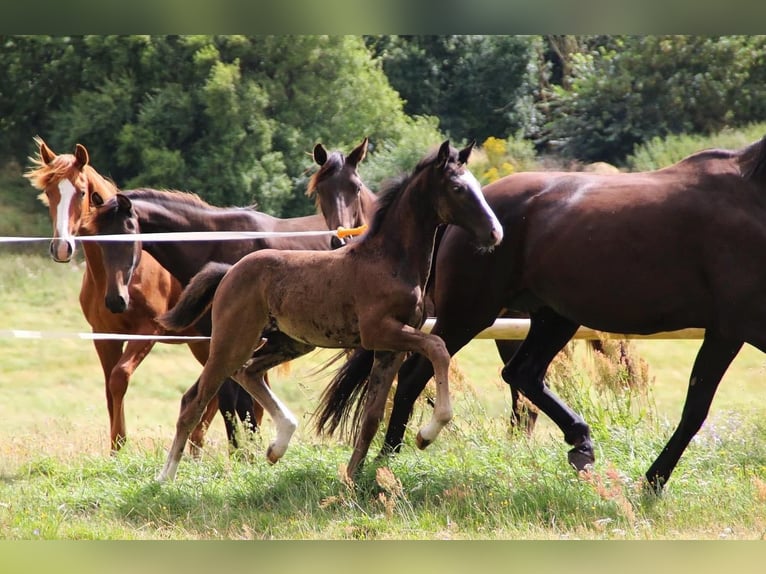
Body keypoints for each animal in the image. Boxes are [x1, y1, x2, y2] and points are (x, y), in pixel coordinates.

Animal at [84, 138, 376, 450]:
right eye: (99, 240)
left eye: (129, 234)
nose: (115, 300)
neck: (215, 242)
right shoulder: (219, 340)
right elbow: (229, 401)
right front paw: (241, 452)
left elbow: (241, 404)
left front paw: (248, 452)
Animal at [153, 142, 508, 484]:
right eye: (457, 188)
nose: (495, 233)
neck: (390, 261)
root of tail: (229, 271)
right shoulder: (379, 332)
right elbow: (438, 348)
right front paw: (427, 434)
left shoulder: (390, 348)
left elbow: (372, 416)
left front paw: (351, 479)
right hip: (232, 339)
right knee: (196, 400)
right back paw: (165, 477)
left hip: (290, 342)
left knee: (247, 372)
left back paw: (278, 445)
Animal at [320, 137, 766, 492]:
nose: (493, 233)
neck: (752, 197)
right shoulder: (732, 327)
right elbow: (695, 409)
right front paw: (653, 482)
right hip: (471, 314)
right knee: (417, 374)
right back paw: (386, 463)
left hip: (553, 317)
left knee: (522, 374)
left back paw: (581, 444)